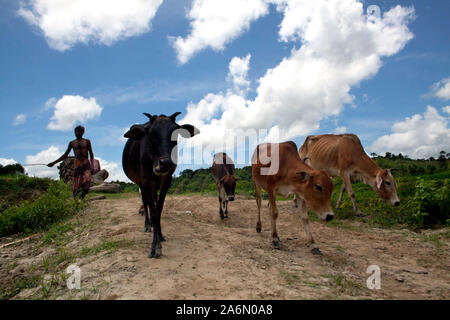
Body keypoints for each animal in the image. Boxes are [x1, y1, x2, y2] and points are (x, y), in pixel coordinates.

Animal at [124, 112, 200, 258]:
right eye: (151, 134)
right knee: (146, 203)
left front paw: (160, 235)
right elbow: (153, 213)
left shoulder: (167, 182)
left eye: (176, 134)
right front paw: (155, 247)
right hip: (141, 185)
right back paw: (147, 225)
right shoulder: (146, 182)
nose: (165, 163)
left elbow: (159, 210)